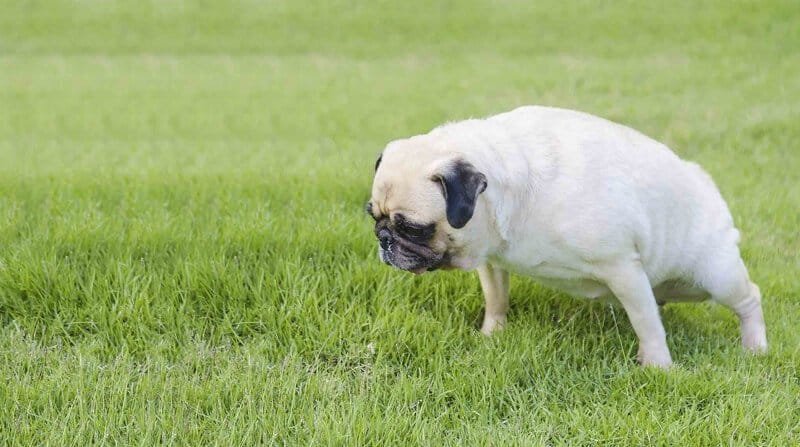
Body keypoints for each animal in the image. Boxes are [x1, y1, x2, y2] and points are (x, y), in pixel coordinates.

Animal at [368, 105, 768, 368]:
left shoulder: (622, 267)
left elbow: (646, 324)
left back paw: (755, 347)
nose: (385, 239)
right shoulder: (492, 260)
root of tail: (705, 181)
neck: (513, 194)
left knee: (748, 298)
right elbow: (496, 300)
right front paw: (492, 334)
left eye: (413, 228)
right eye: (373, 216)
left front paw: (657, 365)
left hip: (716, 274)